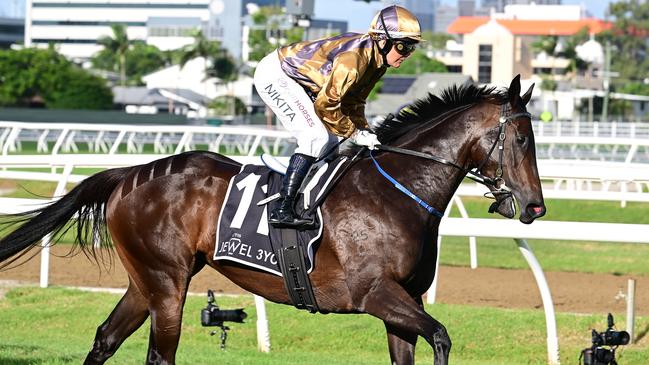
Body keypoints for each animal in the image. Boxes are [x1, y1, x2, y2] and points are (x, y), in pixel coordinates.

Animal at [0, 74, 544, 364]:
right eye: (521, 139)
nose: (536, 207)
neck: (395, 192)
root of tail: (129, 174)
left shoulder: (404, 301)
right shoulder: (375, 294)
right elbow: (442, 335)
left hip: (147, 280)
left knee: (105, 340)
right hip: (168, 284)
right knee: (159, 354)